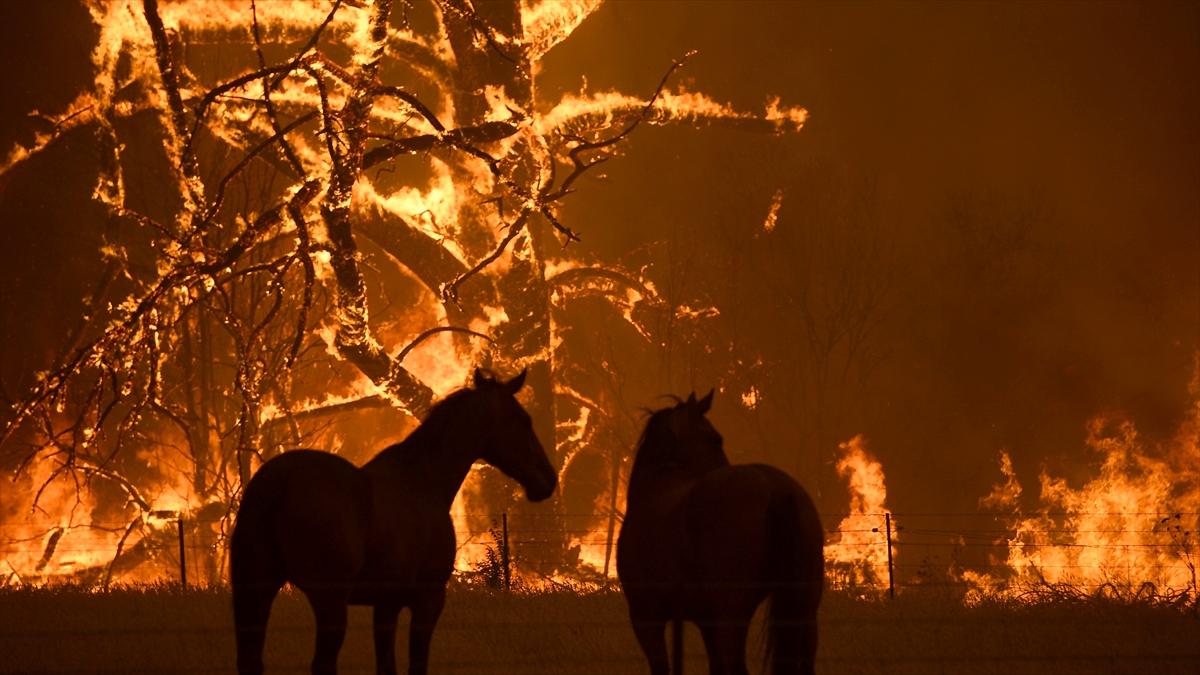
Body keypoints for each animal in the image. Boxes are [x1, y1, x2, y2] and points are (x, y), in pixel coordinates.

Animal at [229, 367, 556, 672]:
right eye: (522, 420)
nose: (548, 479)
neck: (422, 481)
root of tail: (277, 483)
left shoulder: (386, 604)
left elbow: (386, 664)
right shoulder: (428, 600)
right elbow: (415, 664)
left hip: (257, 591)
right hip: (329, 602)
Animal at [619, 391, 825, 667]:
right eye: (715, 439)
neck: (657, 488)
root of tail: (776, 486)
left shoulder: (646, 619)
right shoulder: (706, 623)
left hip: (732, 617)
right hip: (805, 613)